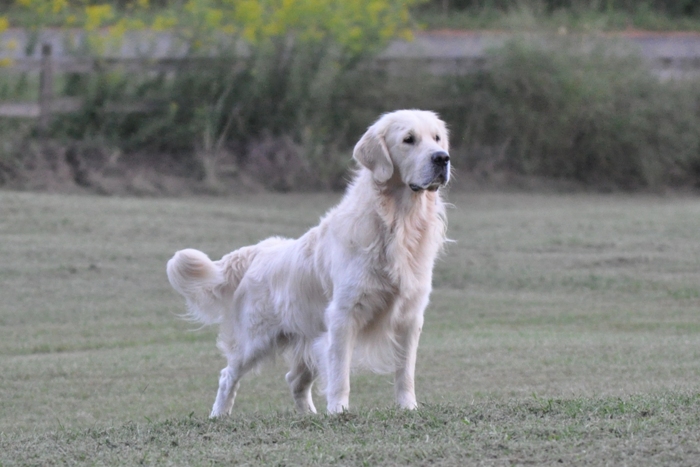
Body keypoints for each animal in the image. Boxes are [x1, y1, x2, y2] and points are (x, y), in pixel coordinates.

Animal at [167, 109, 452, 416]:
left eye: (437, 138)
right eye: (408, 139)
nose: (442, 158)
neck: (398, 221)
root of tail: (259, 250)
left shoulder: (410, 316)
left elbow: (405, 371)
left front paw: (408, 407)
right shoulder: (343, 315)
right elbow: (340, 374)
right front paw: (339, 410)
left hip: (309, 338)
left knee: (294, 380)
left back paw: (309, 415)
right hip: (255, 341)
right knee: (227, 375)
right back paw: (219, 415)